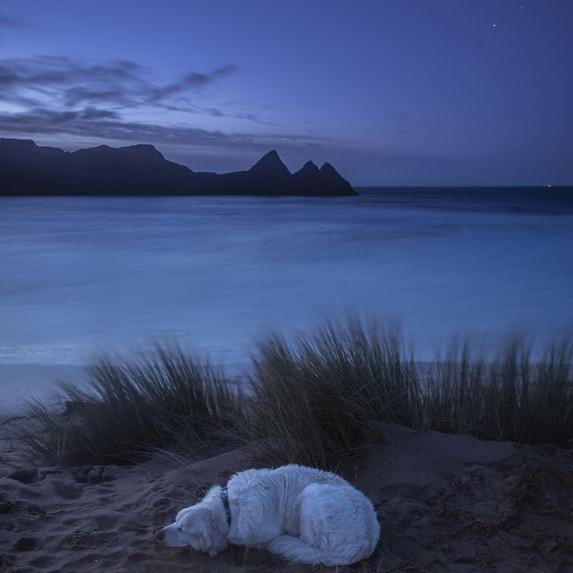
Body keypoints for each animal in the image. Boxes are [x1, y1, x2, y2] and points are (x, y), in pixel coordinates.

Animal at [161, 462, 378, 564]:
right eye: (175, 520)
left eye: (182, 529)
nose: (157, 534)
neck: (228, 509)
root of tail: (365, 543)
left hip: (312, 493)